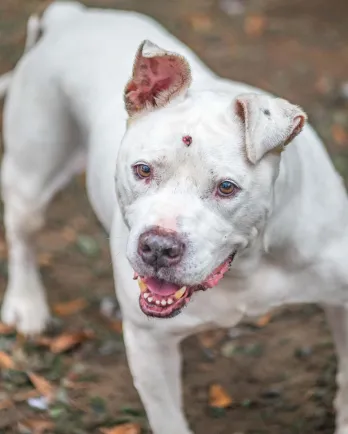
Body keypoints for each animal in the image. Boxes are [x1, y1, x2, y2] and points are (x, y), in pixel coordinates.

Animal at [0, 1, 348, 432]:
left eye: (227, 187)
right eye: (143, 170)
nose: (158, 247)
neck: (247, 266)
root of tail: (73, 18)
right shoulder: (149, 344)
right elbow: (168, 418)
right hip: (31, 173)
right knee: (23, 236)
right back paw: (27, 304)